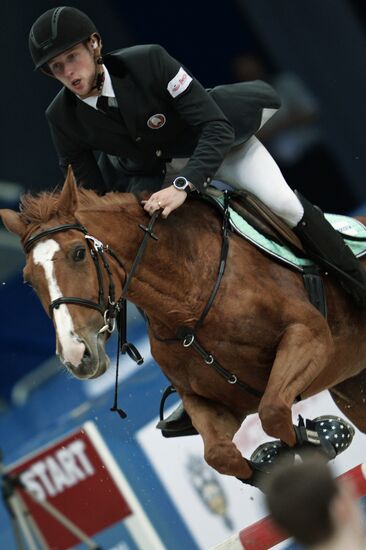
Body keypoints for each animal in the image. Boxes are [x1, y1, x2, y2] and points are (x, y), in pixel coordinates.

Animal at [0, 169, 366, 488]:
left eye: (78, 253)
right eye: (28, 280)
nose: (76, 355)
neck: (188, 299)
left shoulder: (309, 336)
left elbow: (273, 411)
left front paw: (322, 437)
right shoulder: (212, 400)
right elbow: (220, 455)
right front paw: (275, 459)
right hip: (352, 389)